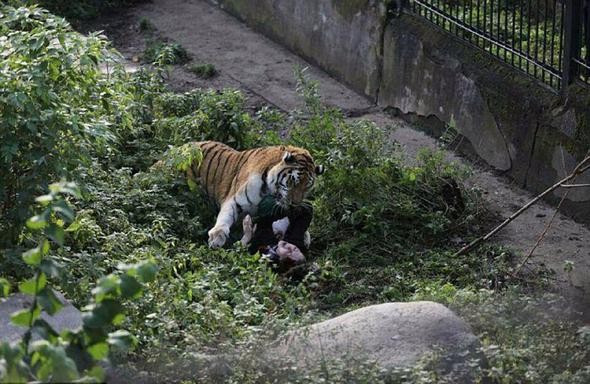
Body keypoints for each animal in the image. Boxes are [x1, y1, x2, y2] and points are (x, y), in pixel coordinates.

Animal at [188, 141, 324, 249]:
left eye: (307, 187)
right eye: (292, 182)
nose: (294, 204)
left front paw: (305, 236)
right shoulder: (234, 200)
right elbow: (225, 216)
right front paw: (217, 236)